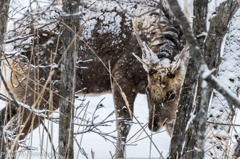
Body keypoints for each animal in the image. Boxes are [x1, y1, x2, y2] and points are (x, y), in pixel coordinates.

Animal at [0, 0, 188, 158]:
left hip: (20, 92)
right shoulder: (121, 75)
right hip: (40, 90)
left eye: (172, 94)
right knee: (12, 133)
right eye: (148, 91)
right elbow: (123, 126)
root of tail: (7, 46)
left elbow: (174, 128)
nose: (153, 125)